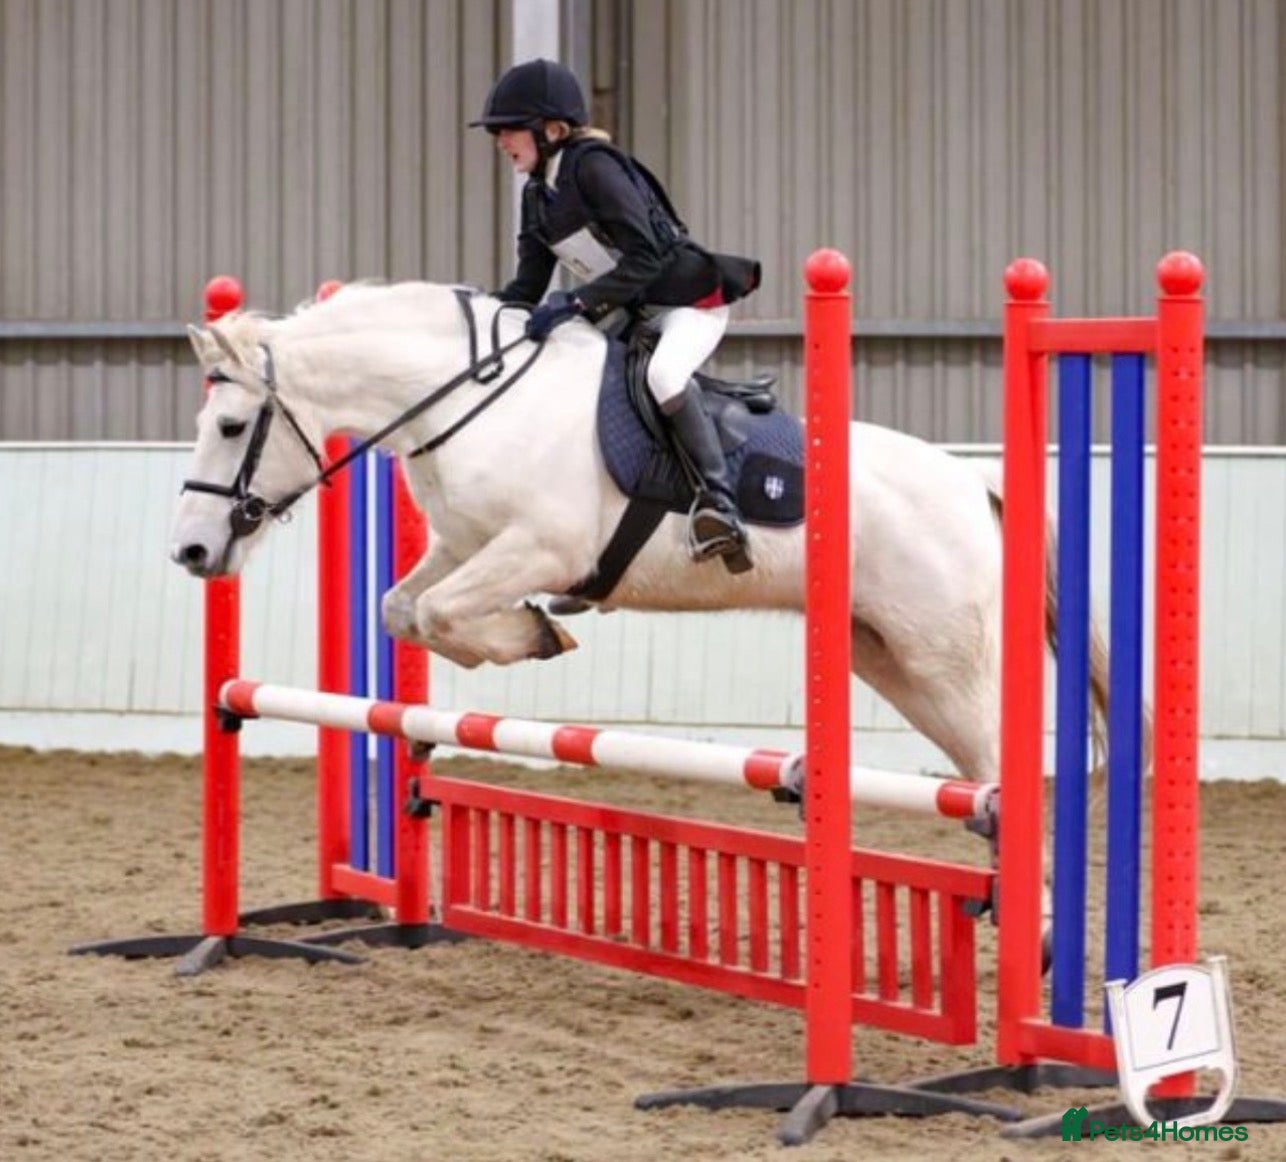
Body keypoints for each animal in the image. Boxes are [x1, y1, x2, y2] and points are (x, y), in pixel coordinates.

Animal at [172, 280, 1110, 789]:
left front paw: (534, 634)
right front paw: (531, 634)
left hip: (942, 655)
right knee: (980, 769)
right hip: (883, 655)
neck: (465, 395)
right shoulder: (465, 548)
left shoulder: (540, 549)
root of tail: (975, 483)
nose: (192, 552)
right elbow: (404, 609)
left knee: (1000, 770)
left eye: (229, 426)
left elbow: (436, 614)